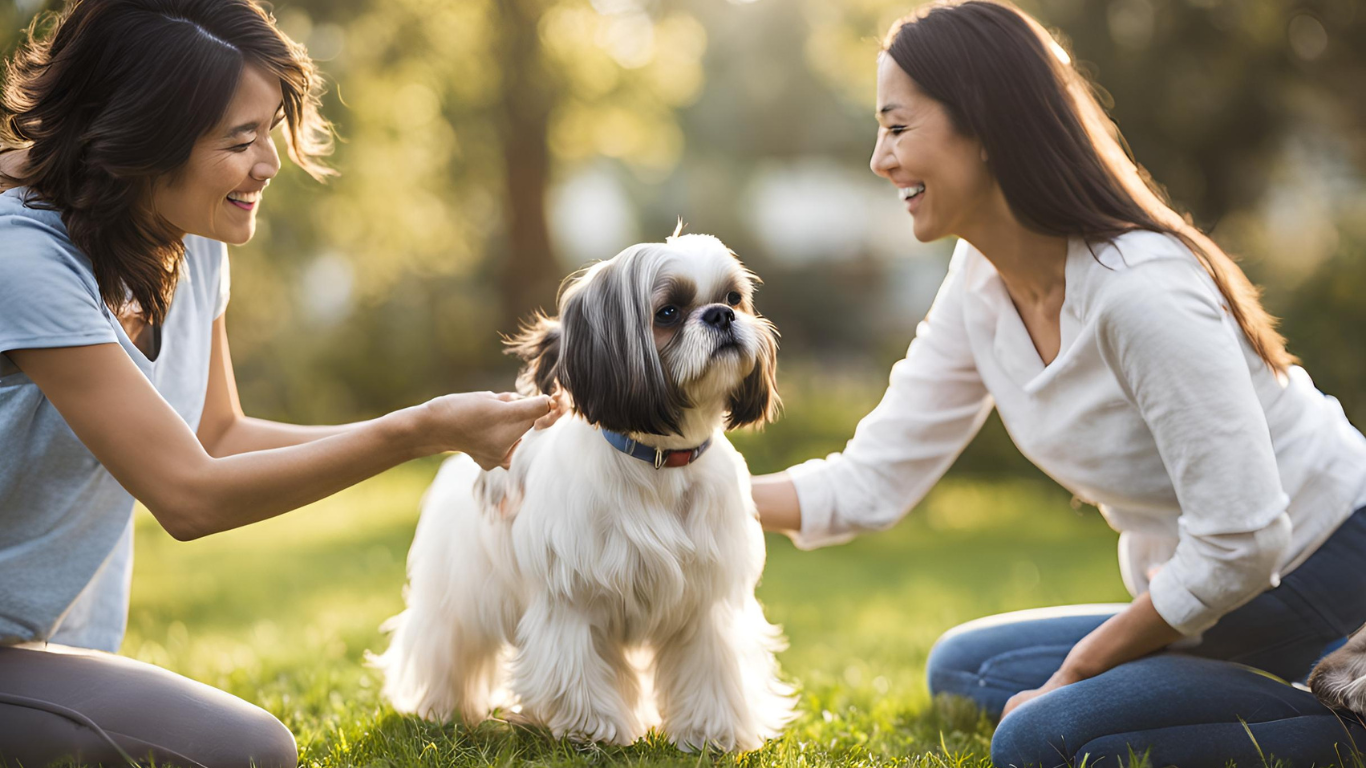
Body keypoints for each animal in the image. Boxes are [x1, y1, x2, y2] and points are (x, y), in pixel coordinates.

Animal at [374, 229, 797, 748]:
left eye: (733, 298)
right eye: (667, 313)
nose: (722, 315)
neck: (660, 462)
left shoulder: (706, 603)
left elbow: (710, 670)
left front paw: (710, 734)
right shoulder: (573, 599)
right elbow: (577, 668)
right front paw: (595, 729)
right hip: (459, 599)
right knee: (445, 648)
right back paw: (443, 708)